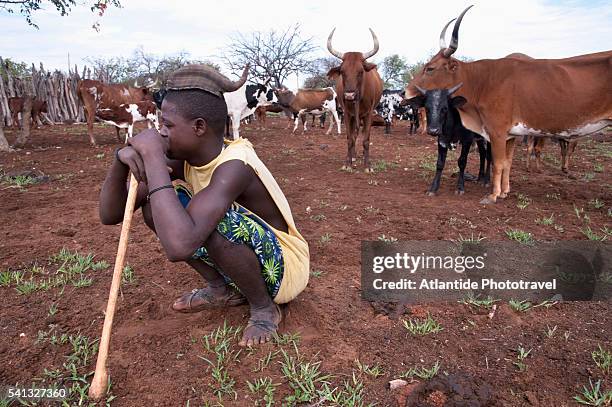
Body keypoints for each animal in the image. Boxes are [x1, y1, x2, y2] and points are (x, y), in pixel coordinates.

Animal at [326, 26, 382, 171]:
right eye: (342, 72)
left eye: (361, 71)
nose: (349, 96)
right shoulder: (347, 114)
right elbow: (349, 138)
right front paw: (348, 163)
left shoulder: (368, 114)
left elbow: (366, 139)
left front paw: (368, 165)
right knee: (354, 134)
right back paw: (353, 156)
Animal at [406, 6, 612, 204]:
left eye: (430, 68)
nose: (404, 92)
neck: (482, 81)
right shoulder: (511, 135)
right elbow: (507, 163)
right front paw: (504, 192)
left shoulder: (496, 132)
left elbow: (498, 163)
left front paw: (493, 195)